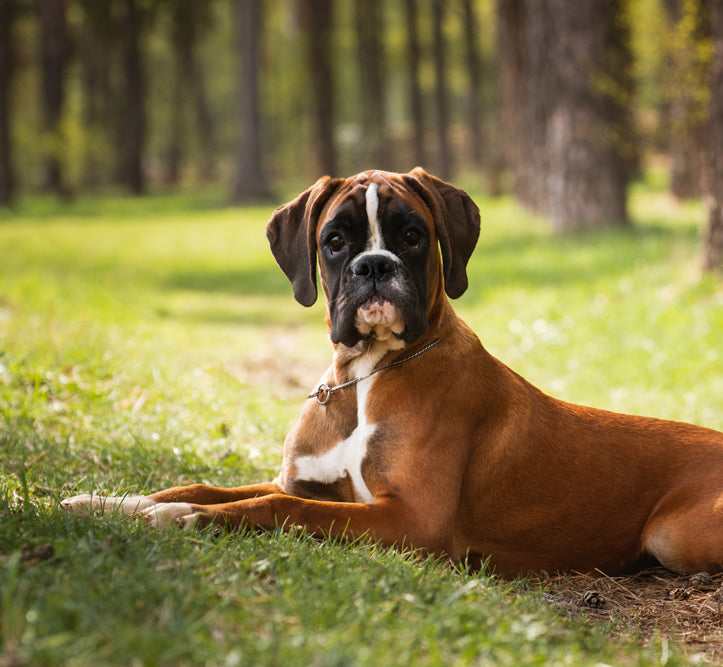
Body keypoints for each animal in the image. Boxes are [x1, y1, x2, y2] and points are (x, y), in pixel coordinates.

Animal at [62, 168, 723, 580]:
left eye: (411, 235)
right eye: (334, 241)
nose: (374, 266)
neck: (363, 379)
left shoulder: (410, 520)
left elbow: (277, 510)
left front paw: (184, 520)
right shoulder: (306, 484)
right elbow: (206, 487)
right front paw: (110, 501)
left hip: (675, 534)